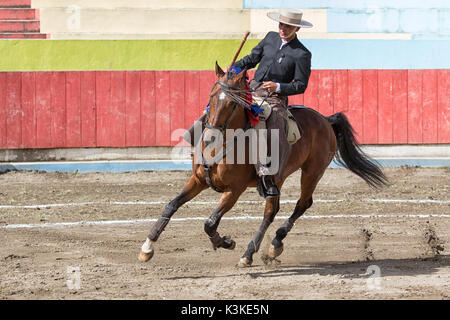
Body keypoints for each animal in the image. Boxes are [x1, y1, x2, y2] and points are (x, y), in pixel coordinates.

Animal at [138, 63, 386, 266]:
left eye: (232, 103)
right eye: (211, 96)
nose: (208, 137)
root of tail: (325, 119)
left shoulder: (234, 190)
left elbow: (210, 222)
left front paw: (226, 242)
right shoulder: (198, 180)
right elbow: (171, 205)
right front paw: (147, 247)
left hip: (312, 172)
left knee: (298, 205)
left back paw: (258, 250)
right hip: (278, 178)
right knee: (273, 209)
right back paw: (267, 249)